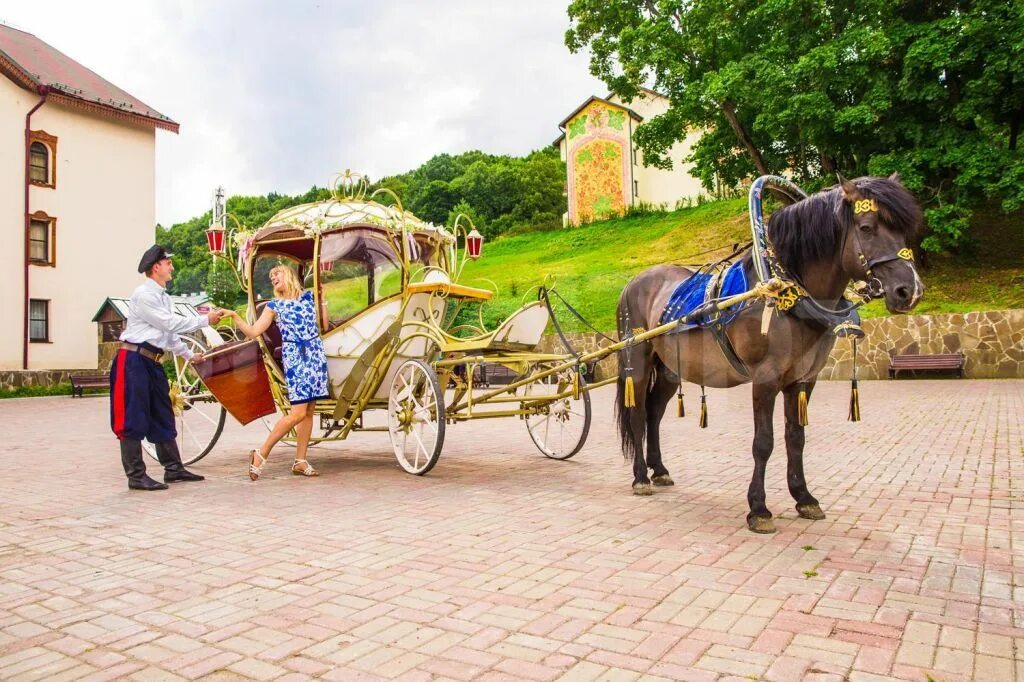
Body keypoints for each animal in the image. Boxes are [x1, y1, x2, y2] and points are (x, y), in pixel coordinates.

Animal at [614, 174, 929, 532]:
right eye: (867, 227)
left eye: (903, 231)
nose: (910, 291)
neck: (786, 290)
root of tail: (634, 283)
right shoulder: (765, 378)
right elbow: (763, 442)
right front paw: (758, 508)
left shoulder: (803, 379)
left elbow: (796, 438)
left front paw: (804, 498)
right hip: (636, 360)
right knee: (638, 414)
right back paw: (641, 476)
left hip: (669, 368)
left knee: (654, 412)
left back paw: (659, 470)